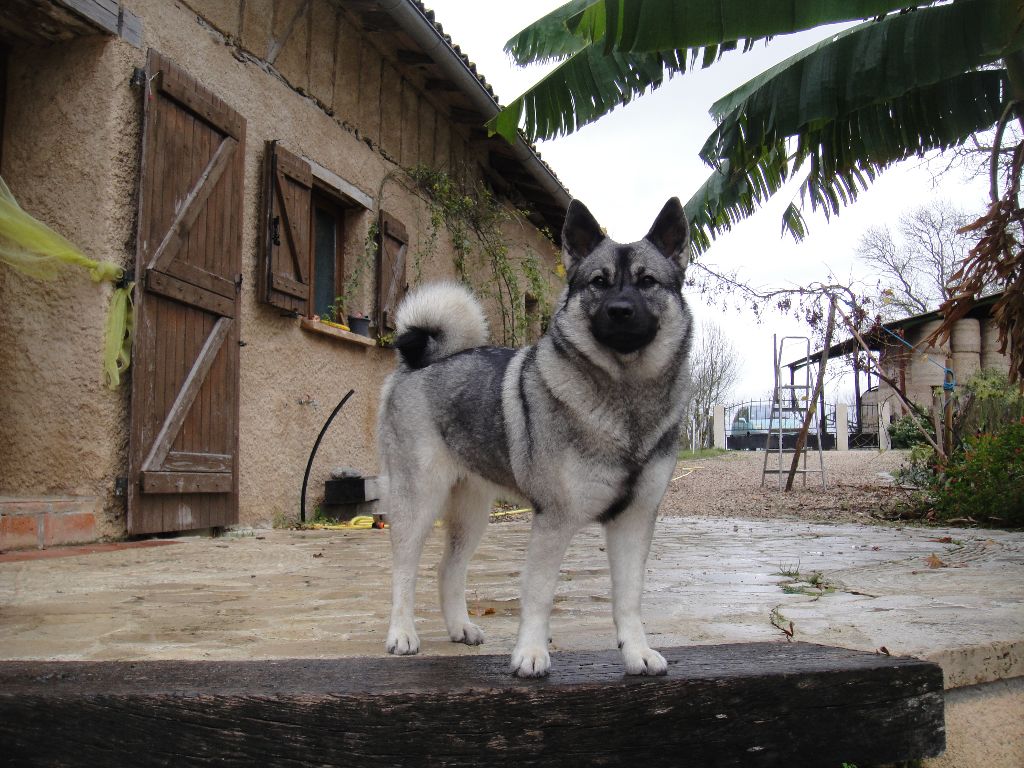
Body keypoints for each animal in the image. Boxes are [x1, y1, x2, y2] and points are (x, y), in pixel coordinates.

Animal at [377, 197, 693, 677]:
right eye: (598, 282)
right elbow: (539, 593)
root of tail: (417, 363)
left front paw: (637, 652)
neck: (624, 394)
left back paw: (460, 628)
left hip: (471, 512)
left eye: (647, 281)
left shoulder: (633, 521)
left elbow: (628, 598)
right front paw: (530, 654)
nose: (620, 309)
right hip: (419, 500)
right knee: (403, 569)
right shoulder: (554, 520)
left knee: (448, 569)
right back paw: (402, 633)